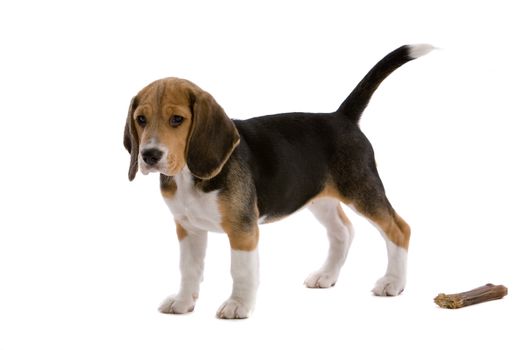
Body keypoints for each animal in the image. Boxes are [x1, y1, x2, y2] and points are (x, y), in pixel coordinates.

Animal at [124, 43, 434, 318]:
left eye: (177, 119)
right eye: (141, 119)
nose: (150, 155)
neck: (187, 175)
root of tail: (341, 117)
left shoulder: (243, 229)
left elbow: (241, 270)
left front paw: (238, 305)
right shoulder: (188, 228)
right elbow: (189, 269)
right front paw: (182, 301)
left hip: (362, 189)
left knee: (399, 229)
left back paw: (393, 282)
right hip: (320, 198)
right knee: (343, 231)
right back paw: (326, 275)